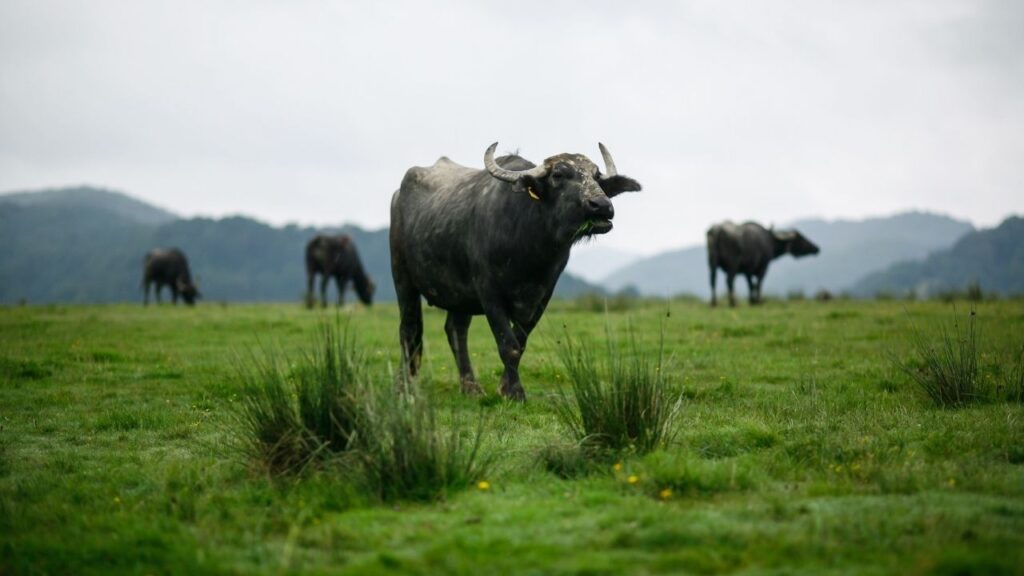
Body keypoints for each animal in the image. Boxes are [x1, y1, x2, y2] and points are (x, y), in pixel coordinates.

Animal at [390, 142, 641, 400]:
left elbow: (519, 343)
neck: (528, 250)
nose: (601, 206)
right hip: (403, 279)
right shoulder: (489, 294)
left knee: (455, 330)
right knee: (409, 331)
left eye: (596, 176)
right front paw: (514, 392)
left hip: (459, 296)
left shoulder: (541, 297)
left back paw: (470, 386)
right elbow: (508, 345)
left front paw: (506, 387)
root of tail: (398, 196)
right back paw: (404, 386)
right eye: (558, 175)